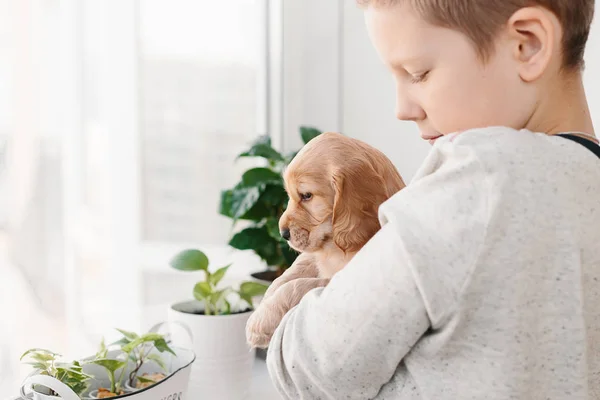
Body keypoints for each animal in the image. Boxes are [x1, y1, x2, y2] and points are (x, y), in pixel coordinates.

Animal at [246, 133, 406, 348]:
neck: (337, 245)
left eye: (306, 196)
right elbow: (293, 272)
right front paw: (266, 299)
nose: (283, 233)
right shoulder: (316, 254)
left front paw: (261, 320)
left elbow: (298, 285)